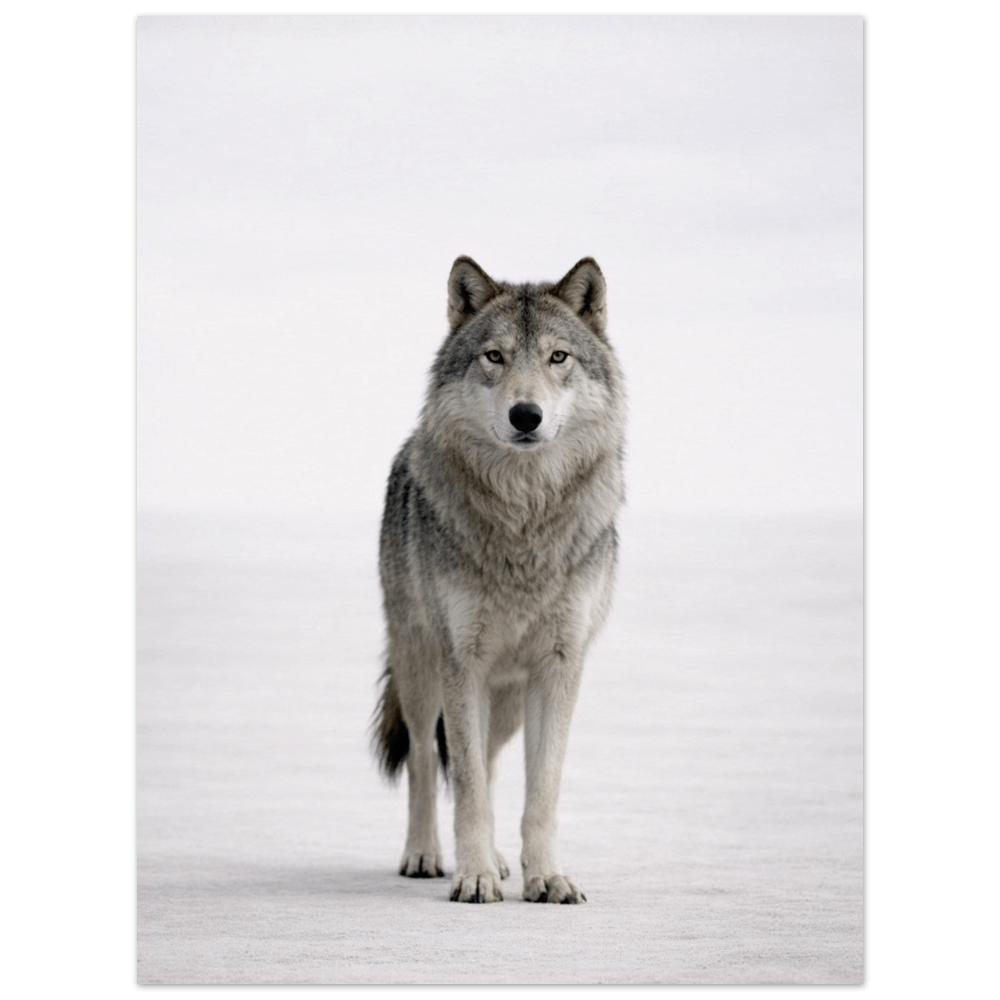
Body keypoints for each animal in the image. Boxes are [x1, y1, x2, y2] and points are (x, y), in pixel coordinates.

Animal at [373, 256, 624, 903]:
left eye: (558, 357)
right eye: (495, 356)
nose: (525, 414)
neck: (524, 522)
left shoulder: (559, 666)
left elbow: (540, 792)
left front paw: (546, 877)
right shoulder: (463, 662)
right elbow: (463, 786)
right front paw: (474, 876)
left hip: (506, 701)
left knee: (484, 760)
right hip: (422, 670)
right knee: (426, 759)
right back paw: (426, 855)